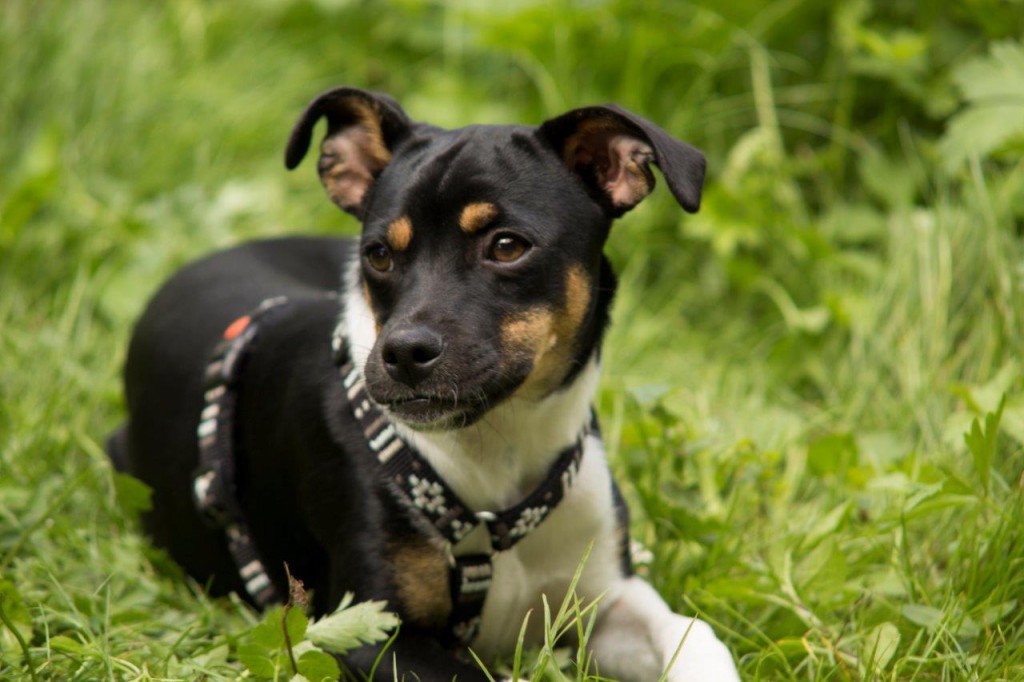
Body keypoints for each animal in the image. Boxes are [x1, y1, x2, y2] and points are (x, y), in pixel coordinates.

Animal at [108, 87, 741, 675]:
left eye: (507, 246)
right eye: (378, 255)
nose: (403, 353)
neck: (495, 459)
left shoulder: (606, 600)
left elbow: (693, 635)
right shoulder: (367, 632)